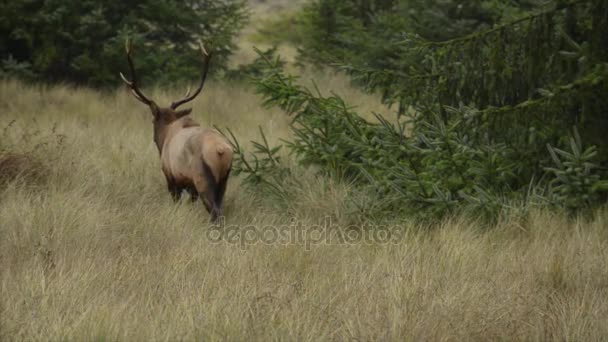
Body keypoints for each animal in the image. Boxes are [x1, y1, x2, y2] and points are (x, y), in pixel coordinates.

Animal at [120, 39, 233, 222]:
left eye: (153, 120)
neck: (166, 135)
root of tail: (221, 150)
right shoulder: (190, 186)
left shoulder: (171, 177)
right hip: (224, 180)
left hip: (203, 179)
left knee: (215, 211)